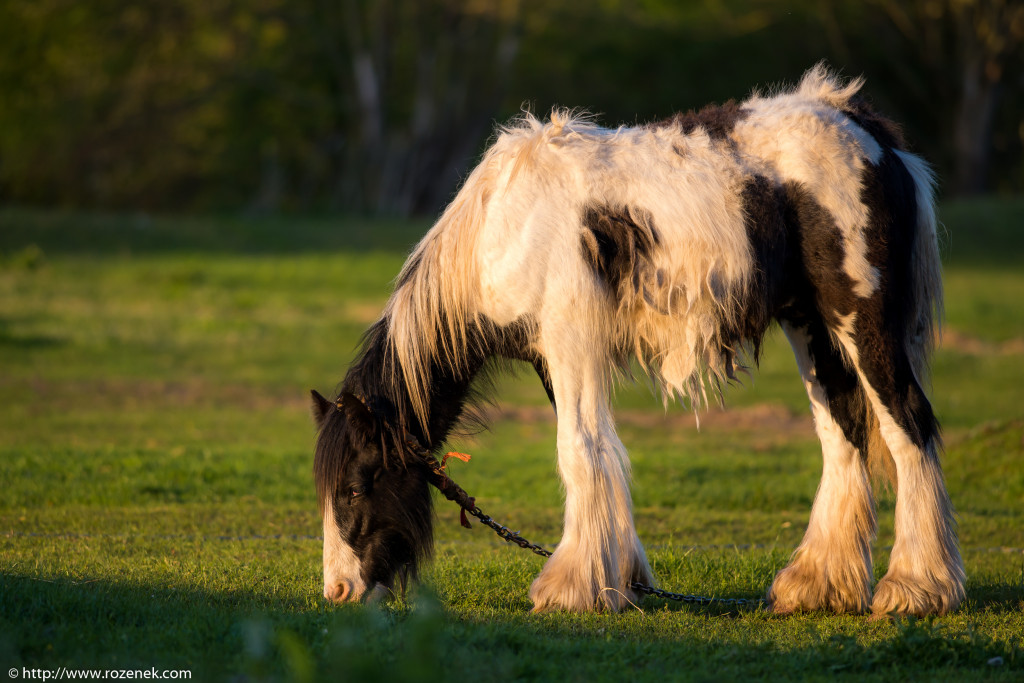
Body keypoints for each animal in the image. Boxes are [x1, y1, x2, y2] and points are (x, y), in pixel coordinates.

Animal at [307, 66, 962, 618]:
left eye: (355, 486)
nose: (338, 592)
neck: (508, 227)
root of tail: (864, 128)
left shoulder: (570, 342)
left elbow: (579, 448)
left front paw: (571, 588)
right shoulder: (553, 358)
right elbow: (598, 449)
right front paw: (618, 577)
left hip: (860, 321)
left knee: (907, 424)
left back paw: (916, 588)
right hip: (811, 328)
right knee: (843, 431)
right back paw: (817, 585)